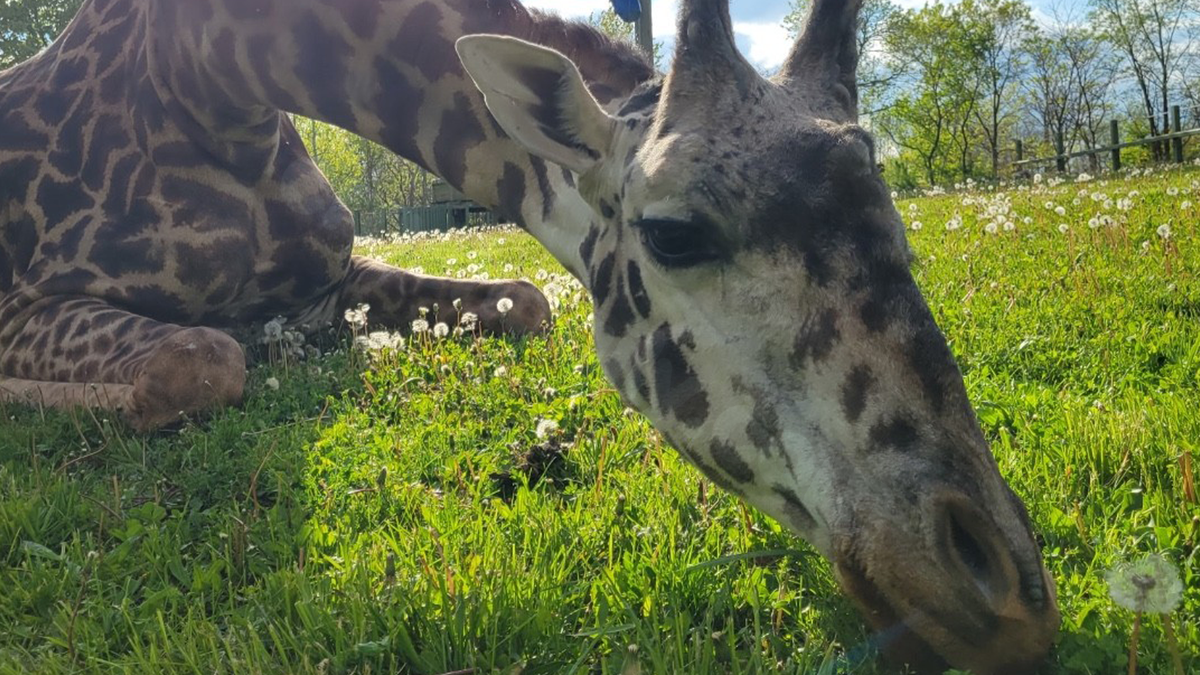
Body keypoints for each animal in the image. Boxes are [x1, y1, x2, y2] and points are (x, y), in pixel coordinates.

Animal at [0, 0, 1060, 671]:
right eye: (674, 233)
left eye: (893, 213)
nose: (1008, 595)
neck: (214, 81)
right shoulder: (23, 302)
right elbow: (198, 357)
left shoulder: (333, 278)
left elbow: (525, 300)